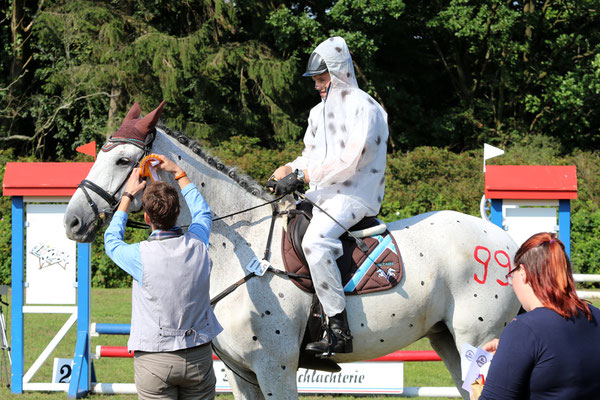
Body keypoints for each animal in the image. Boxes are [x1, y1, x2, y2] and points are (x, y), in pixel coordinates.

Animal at [62, 102, 520, 396]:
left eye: (123, 161)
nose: (72, 221)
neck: (238, 252)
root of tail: (505, 242)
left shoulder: (275, 368)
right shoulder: (242, 374)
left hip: (479, 340)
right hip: (448, 341)